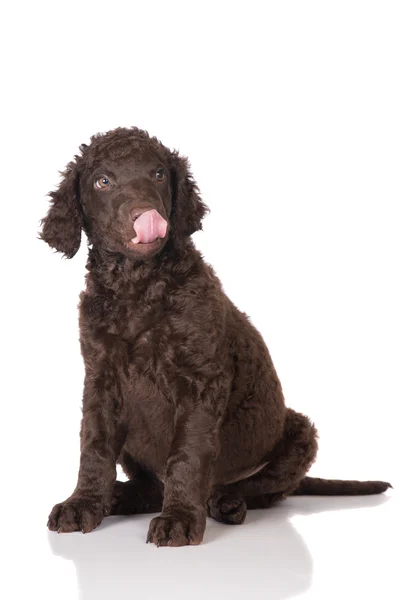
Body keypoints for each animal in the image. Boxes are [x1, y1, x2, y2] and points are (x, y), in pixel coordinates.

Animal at [39, 127, 390, 548]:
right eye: (102, 181)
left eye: (159, 175)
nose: (146, 214)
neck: (137, 286)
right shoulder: (101, 380)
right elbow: (94, 447)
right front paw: (83, 503)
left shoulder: (201, 380)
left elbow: (188, 454)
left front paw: (179, 518)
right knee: (151, 484)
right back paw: (121, 497)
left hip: (299, 433)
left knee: (261, 489)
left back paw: (224, 502)